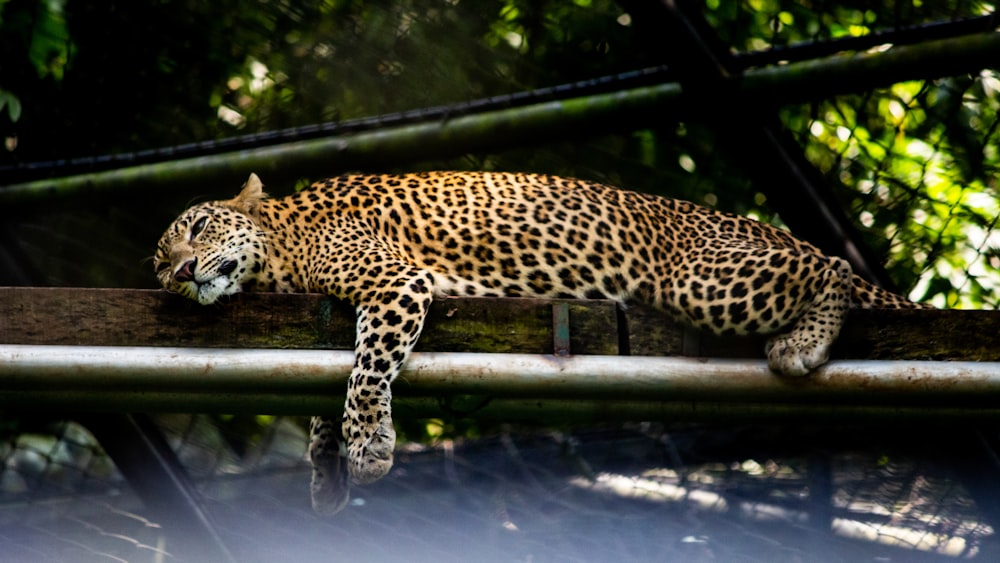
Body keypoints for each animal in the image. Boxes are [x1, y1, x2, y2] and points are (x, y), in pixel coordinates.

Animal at [152, 171, 924, 516]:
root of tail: (764, 227)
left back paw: (805, 341)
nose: (182, 274)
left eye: (197, 227)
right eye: (159, 267)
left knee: (833, 268)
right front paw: (325, 467)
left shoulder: (394, 282)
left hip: (705, 278)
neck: (281, 247)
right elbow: (325, 386)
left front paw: (366, 444)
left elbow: (367, 372)